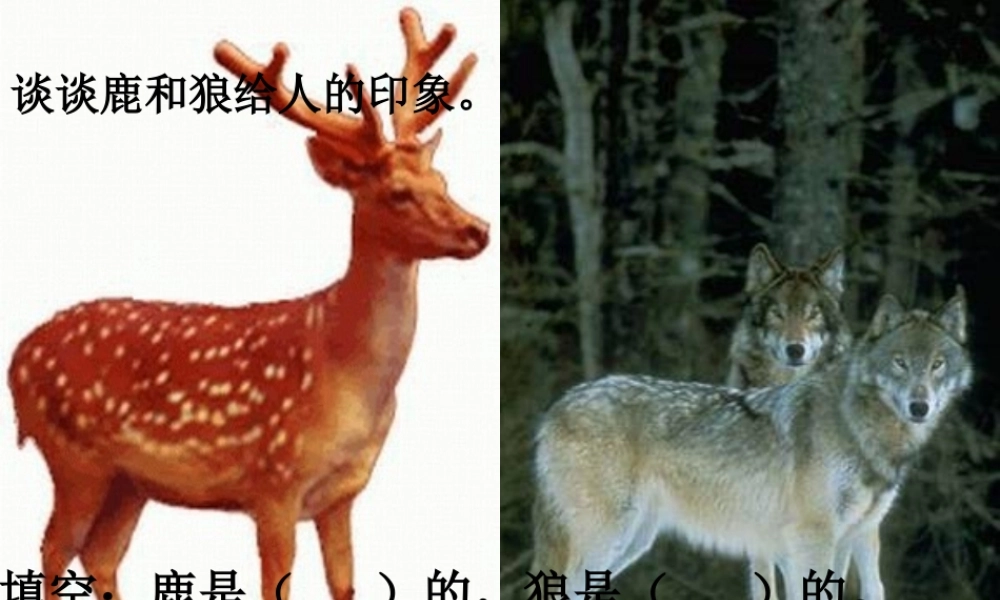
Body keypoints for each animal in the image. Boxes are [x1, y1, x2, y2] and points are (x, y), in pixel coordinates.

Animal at [6, 8, 487, 600]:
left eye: (441, 178)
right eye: (398, 192)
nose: (478, 229)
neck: (344, 367)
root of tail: (17, 357)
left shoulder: (342, 494)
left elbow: (344, 584)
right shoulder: (273, 482)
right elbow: (274, 583)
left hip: (129, 480)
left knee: (99, 554)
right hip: (74, 456)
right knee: (54, 548)